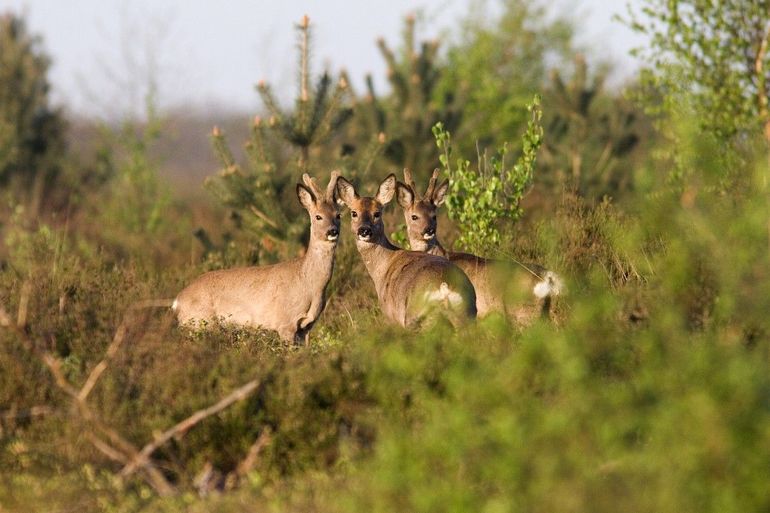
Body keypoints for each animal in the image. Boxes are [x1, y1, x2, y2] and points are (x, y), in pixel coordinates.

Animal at [176, 170, 344, 342]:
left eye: (338, 215)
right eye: (318, 216)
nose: (332, 231)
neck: (309, 285)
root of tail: (178, 301)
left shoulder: (305, 329)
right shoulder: (285, 323)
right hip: (201, 322)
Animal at [334, 172, 474, 324]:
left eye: (377, 213)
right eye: (354, 213)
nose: (364, 230)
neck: (383, 267)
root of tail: (445, 288)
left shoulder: (392, 317)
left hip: (416, 317)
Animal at [392, 168, 560, 322]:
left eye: (434, 216)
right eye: (414, 216)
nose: (429, 230)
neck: (442, 255)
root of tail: (549, 277)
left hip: (524, 312)